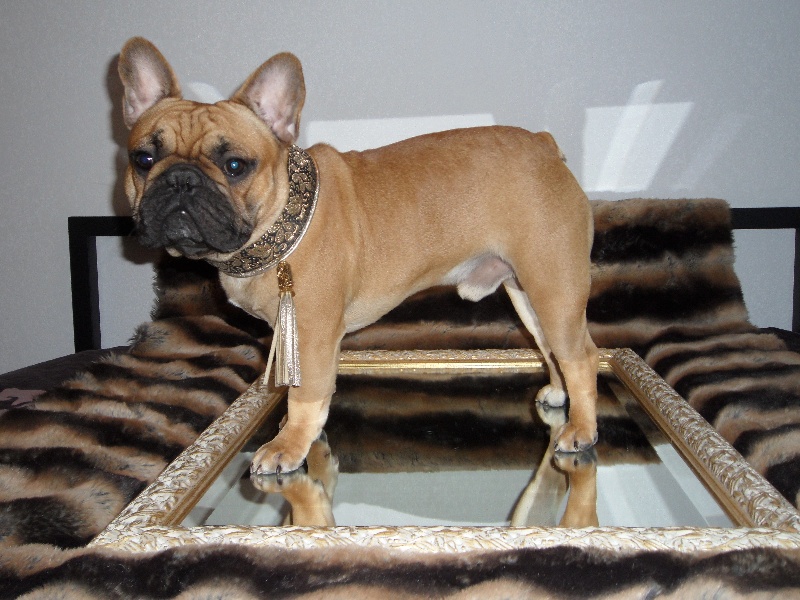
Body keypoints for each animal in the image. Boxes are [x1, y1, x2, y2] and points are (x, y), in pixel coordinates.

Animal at [117, 37, 599, 476]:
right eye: (143, 159)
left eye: (235, 165)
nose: (180, 180)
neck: (278, 223)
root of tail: (543, 145)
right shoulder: (305, 338)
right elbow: (318, 395)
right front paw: (305, 438)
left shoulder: (311, 333)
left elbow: (304, 395)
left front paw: (289, 445)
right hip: (527, 294)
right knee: (553, 350)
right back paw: (561, 398)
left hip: (554, 288)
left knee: (581, 356)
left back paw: (581, 430)